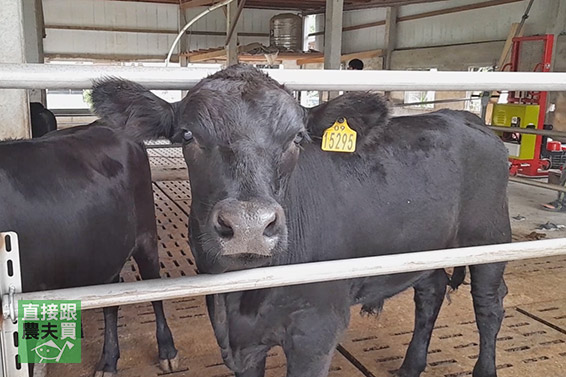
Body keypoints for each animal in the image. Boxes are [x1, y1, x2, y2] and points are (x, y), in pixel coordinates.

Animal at [0, 122, 180, 374]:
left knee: (154, 288)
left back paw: (167, 351)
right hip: (106, 254)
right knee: (110, 302)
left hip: (146, 235)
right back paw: (108, 361)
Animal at [91, 64, 512, 376]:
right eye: (188, 134)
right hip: (428, 246)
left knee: (489, 306)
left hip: (490, 238)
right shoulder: (241, 340)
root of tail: (464, 117)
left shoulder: (317, 331)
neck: (244, 298)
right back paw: (411, 366)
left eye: (296, 138)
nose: (248, 226)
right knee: (430, 293)